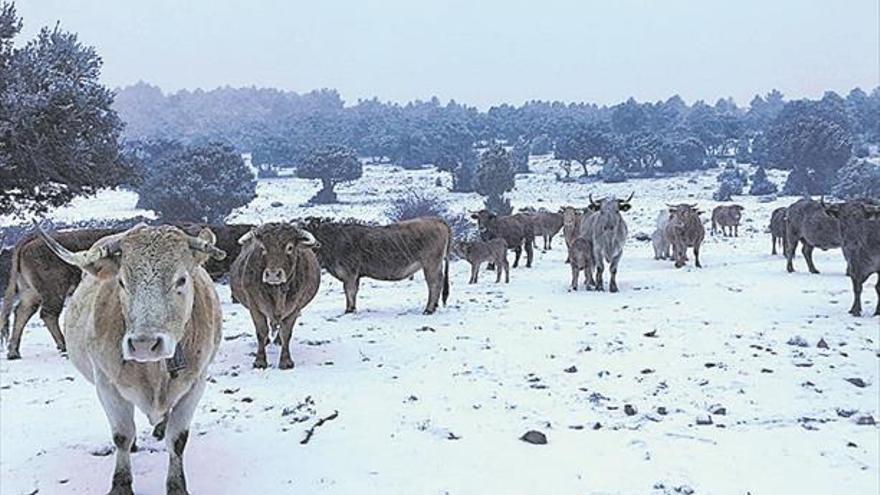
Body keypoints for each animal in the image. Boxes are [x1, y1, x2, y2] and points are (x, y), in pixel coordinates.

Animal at [34, 224, 227, 495]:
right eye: (122, 282)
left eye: (181, 279)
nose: (144, 344)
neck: (155, 371)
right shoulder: (107, 385)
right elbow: (122, 436)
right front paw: (121, 484)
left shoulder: (196, 384)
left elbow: (177, 439)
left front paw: (177, 485)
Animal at [229, 224, 322, 368]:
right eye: (263, 248)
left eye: (290, 247)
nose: (273, 274)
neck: (277, 291)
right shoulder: (254, 305)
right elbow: (261, 331)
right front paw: (260, 361)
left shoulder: (295, 307)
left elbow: (286, 333)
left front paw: (286, 361)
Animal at [304, 217, 454, 314]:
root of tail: (436, 219)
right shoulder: (355, 275)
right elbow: (353, 292)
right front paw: (352, 308)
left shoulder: (349, 273)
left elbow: (349, 291)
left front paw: (349, 310)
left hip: (431, 263)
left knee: (434, 284)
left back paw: (429, 309)